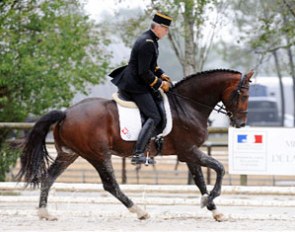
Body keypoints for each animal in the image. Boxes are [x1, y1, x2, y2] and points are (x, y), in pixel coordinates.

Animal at [17, 68, 256, 221]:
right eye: (243, 94)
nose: (240, 124)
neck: (187, 105)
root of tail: (66, 113)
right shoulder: (189, 151)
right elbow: (220, 168)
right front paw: (208, 201)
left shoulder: (188, 153)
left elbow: (200, 181)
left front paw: (214, 210)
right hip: (97, 154)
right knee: (110, 185)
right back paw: (140, 211)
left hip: (69, 154)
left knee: (49, 177)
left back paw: (44, 213)